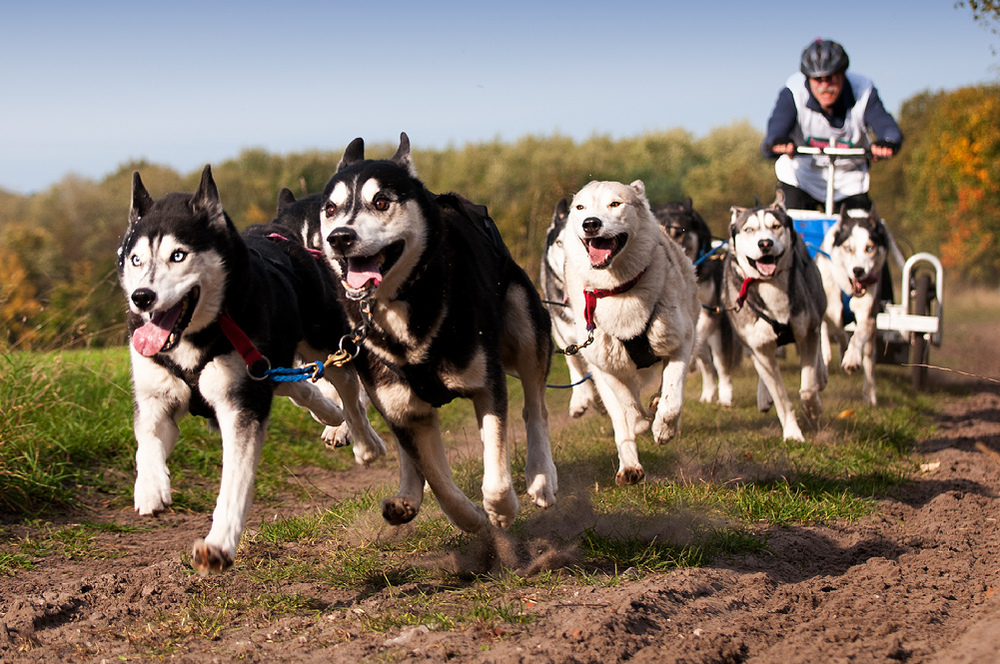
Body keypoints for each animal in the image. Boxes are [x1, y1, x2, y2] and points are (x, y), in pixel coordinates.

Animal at [118, 165, 382, 572]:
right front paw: (150, 487)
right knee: (296, 384)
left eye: (178, 255)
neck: (198, 338)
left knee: (351, 398)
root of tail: (282, 234)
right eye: (135, 259)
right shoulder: (155, 397)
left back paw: (361, 440)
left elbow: (235, 482)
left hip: (325, 346)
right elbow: (146, 439)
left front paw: (219, 544)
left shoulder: (240, 405)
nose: (142, 297)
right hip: (264, 362)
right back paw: (324, 409)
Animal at [320, 132, 560, 532]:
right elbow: (437, 479)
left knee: (535, 408)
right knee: (408, 449)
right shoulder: (404, 411)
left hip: (526, 324)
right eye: (330, 209)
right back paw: (407, 496)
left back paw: (541, 477)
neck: (401, 302)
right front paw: (472, 519)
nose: (339, 237)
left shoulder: (487, 384)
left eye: (381, 201)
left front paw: (501, 510)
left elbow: (496, 473)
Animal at [560, 179, 700, 486]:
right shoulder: (607, 367)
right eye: (580, 207)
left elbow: (672, 399)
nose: (590, 223)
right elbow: (628, 408)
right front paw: (641, 424)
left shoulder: (680, 343)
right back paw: (629, 466)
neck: (619, 290)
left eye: (615, 204)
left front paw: (664, 428)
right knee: (620, 418)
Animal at [720, 192, 828, 440]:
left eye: (776, 226)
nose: (765, 243)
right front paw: (792, 433)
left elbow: (807, 387)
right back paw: (764, 396)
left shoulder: (807, 331)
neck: (770, 286)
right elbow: (780, 396)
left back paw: (821, 376)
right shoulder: (758, 346)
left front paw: (813, 408)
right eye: (749, 229)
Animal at [816, 206, 888, 404]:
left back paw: (870, 393)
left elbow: (857, 335)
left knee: (869, 359)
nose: (858, 270)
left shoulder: (868, 313)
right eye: (848, 248)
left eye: (869, 248)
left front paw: (851, 359)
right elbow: (830, 331)